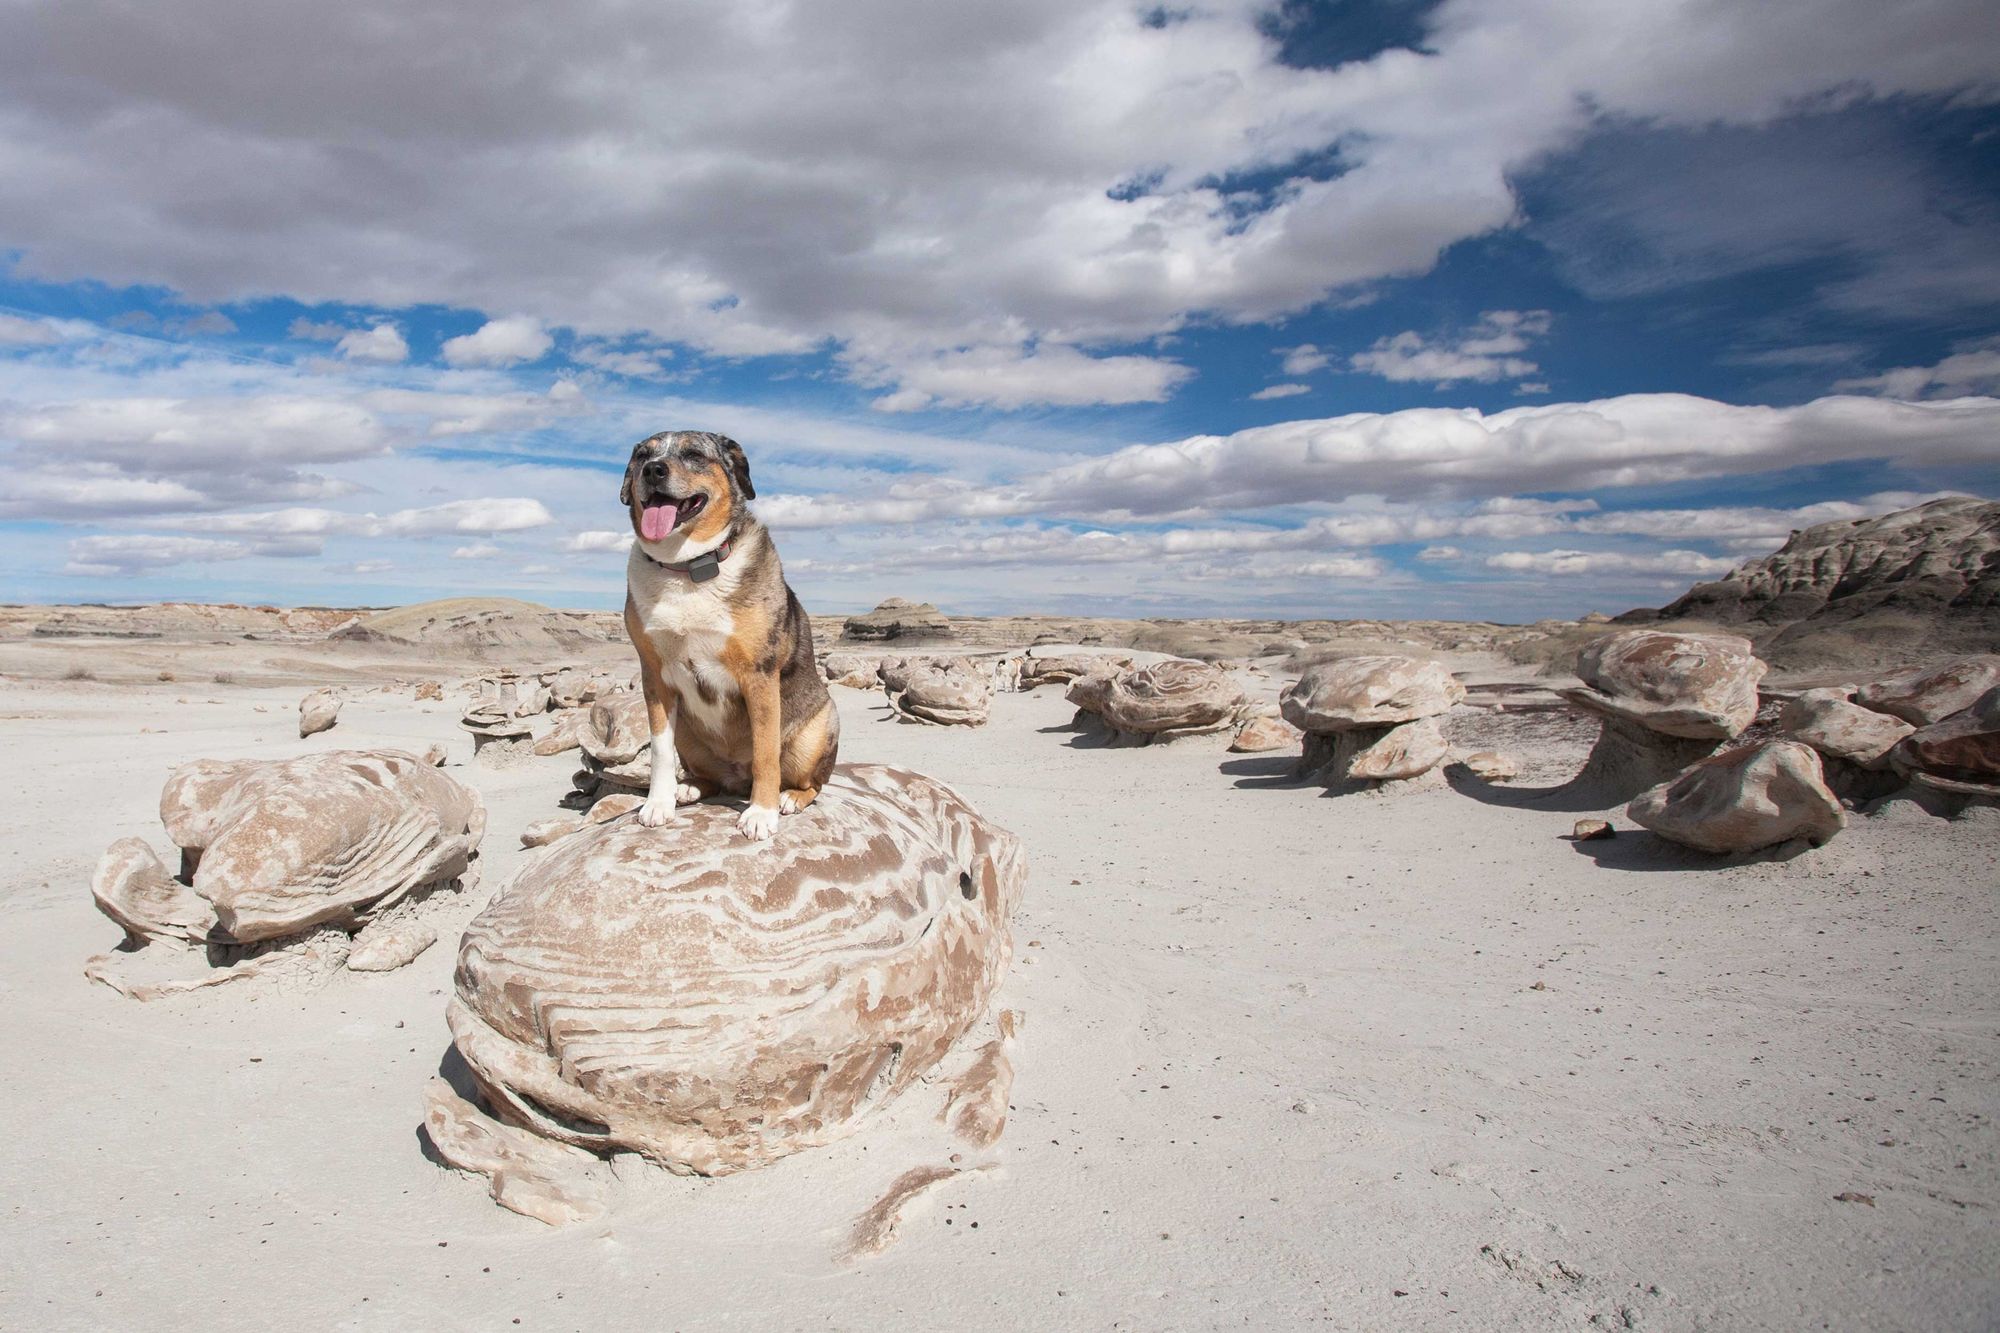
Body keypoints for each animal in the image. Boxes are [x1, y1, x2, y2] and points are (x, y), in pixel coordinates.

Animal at [624, 430, 844, 836]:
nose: (653, 470)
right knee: (710, 778)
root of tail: (736, 778)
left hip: (818, 729)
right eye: (643, 456)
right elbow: (659, 751)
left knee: (813, 783)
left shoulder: (759, 677)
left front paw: (761, 813)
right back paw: (689, 788)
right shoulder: (654, 677)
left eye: (694, 455)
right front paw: (658, 804)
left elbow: (765, 753)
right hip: (689, 735)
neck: (688, 568)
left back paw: (790, 798)